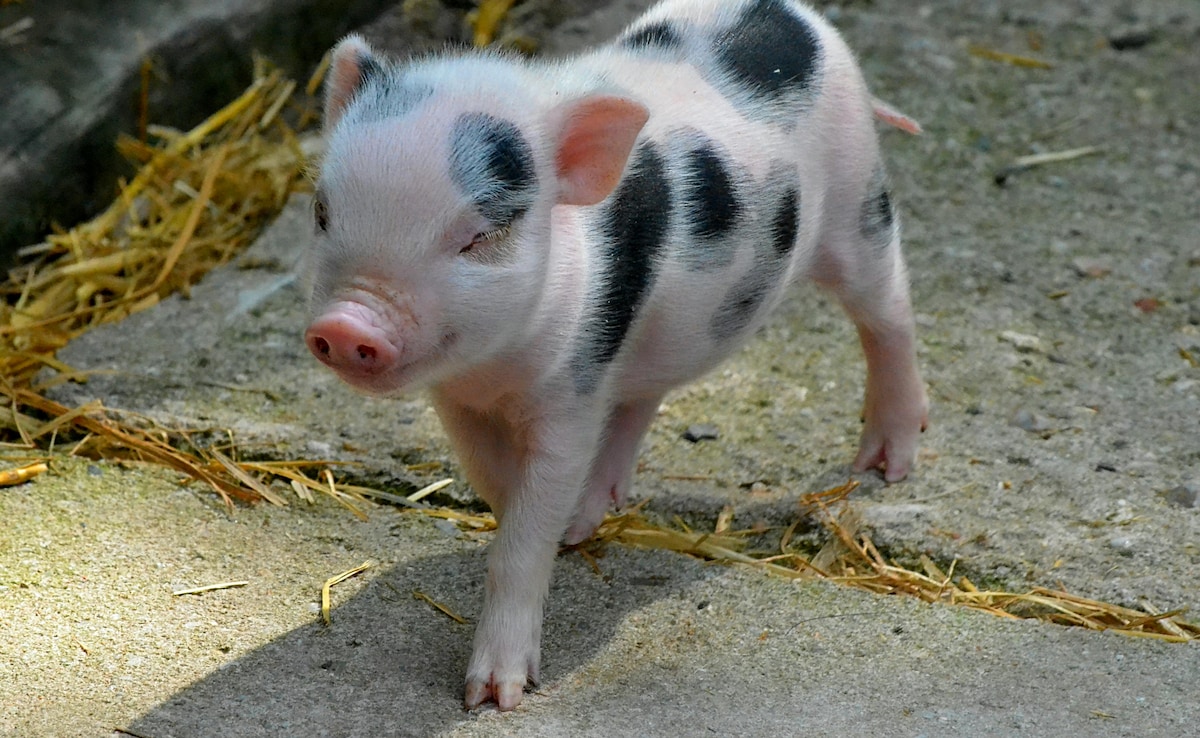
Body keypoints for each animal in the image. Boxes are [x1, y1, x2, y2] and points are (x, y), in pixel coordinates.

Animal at [305, 0, 928, 711]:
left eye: (479, 236)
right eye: (322, 211)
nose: (345, 323)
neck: (496, 369)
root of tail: (797, 17)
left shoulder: (572, 392)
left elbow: (525, 530)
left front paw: (493, 698)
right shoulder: (461, 399)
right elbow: (495, 481)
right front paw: (561, 524)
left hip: (859, 201)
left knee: (889, 311)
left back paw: (886, 465)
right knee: (643, 394)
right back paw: (591, 511)